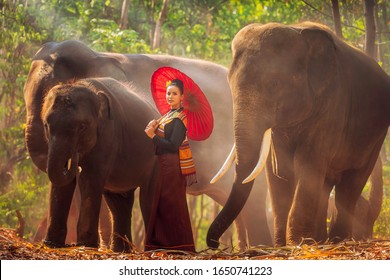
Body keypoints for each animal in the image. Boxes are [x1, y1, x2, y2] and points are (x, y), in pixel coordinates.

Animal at [207, 21, 386, 247]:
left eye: (274, 84)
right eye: (229, 82)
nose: (213, 243)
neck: (298, 31)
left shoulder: (332, 106)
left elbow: (307, 163)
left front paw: (297, 243)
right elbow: (277, 171)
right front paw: (283, 244)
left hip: (376, 136)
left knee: (351, 184)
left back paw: (336, 241)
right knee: (326, 184)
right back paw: (322, 240)